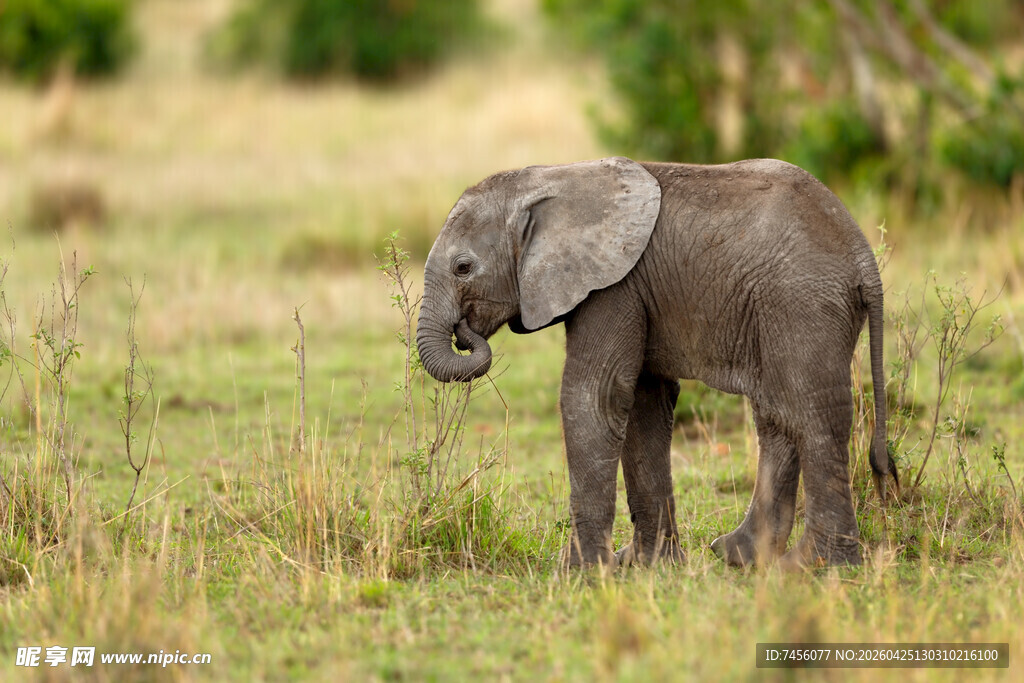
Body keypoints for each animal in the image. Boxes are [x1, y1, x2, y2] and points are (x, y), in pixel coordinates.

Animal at [415, 156, 898, 570]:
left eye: (463, 268)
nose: (464, 331)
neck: (550, 177)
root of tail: (864, 259)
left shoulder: (614, 287)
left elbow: (593, 398)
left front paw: (580, 572)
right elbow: (644, 407)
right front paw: (648, 565)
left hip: (803, 303)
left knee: (811, 415)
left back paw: (813, 567)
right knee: (777, 415)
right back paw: (739, 555)